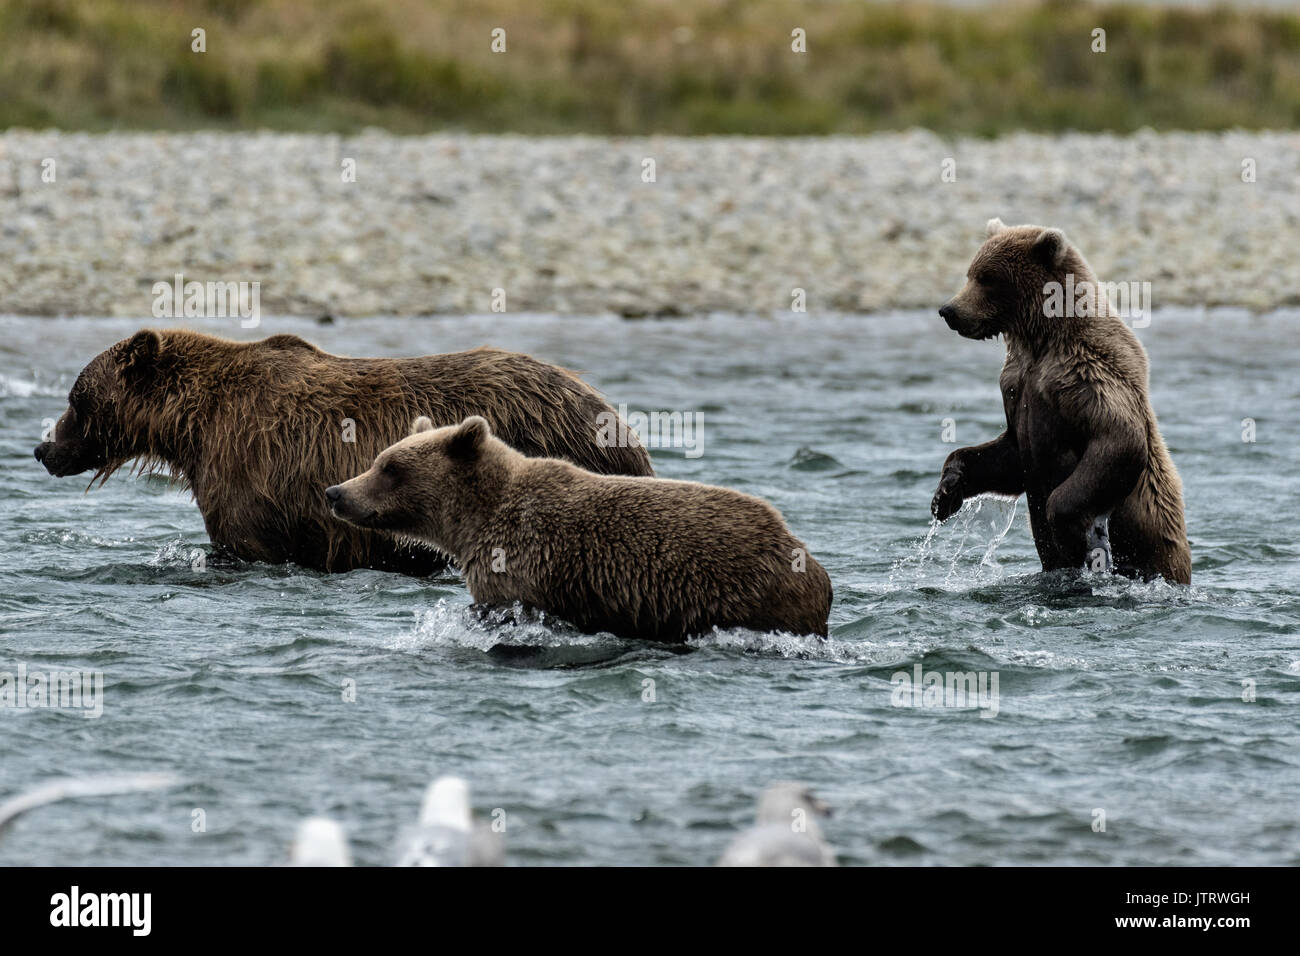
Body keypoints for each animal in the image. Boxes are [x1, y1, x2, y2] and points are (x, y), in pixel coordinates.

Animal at [325, 415, 833, 642]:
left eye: (390, 467)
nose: (336, 492)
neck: (471, 522)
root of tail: (805, 556)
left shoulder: (522, 561)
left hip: (746, 594)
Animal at [932, 219, 1191, 584]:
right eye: (971, 272)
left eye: (988, 278)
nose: (949, 310)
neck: (1040, 339)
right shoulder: (1017, 387)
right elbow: (1009, 455)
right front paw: (946, 492)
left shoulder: (1087, 375)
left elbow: (1118, 440)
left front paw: (1074, 534)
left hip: (1157, 551)